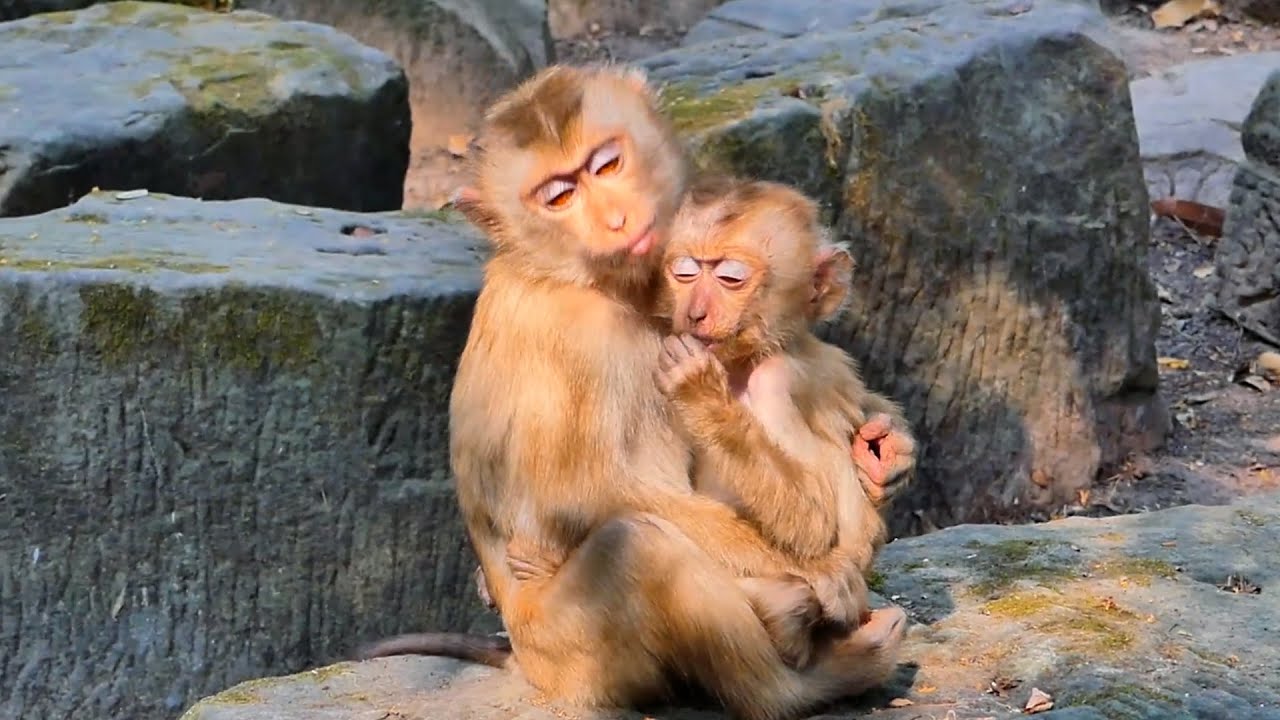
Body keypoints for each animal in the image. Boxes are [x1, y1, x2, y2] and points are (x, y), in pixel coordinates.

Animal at [652, 175, 913, 669]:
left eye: (731, 278)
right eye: (685, 272)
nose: (695, 313)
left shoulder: (777, 382)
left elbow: (813, 522)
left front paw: (702, 392)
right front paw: (892, 451)